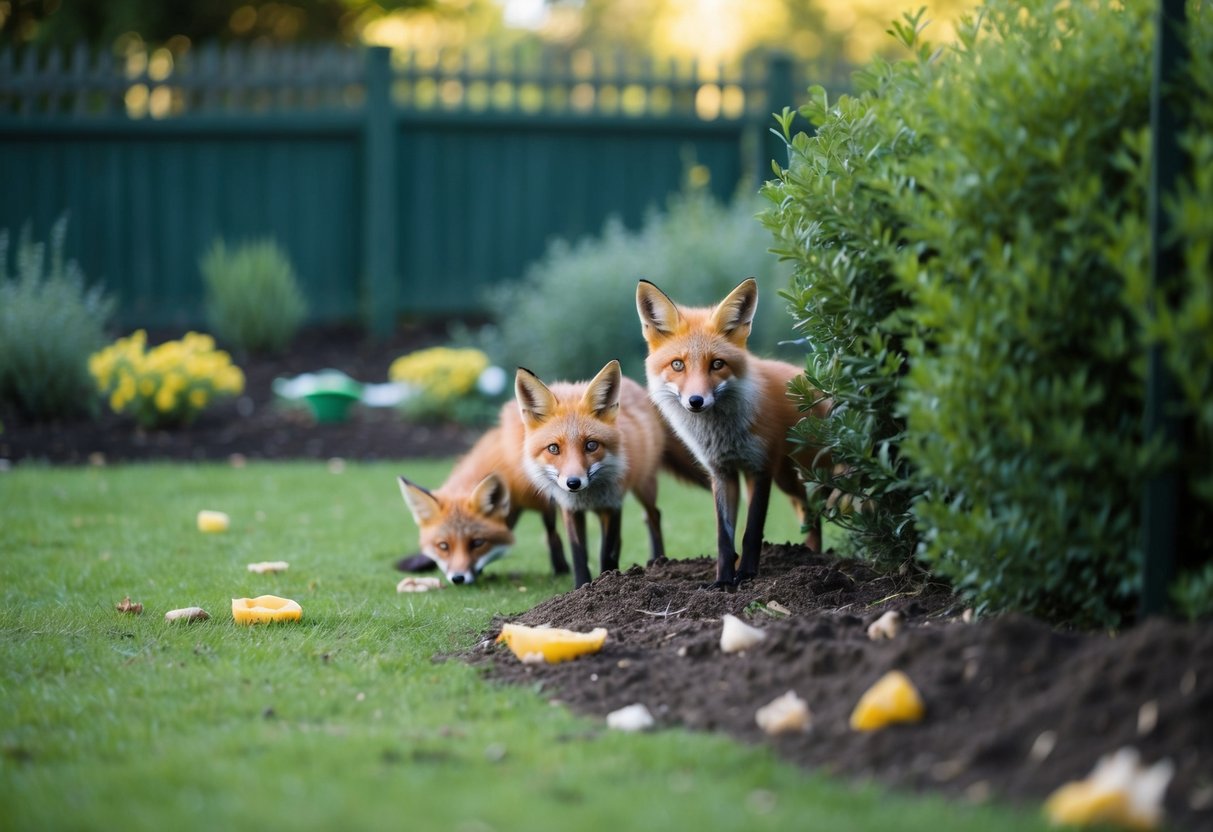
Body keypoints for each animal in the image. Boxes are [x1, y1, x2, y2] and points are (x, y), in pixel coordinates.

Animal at [396, 399, 567, 586]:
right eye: (443, 546)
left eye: (477, 543)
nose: (458, 578)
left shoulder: (544, 502)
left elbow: (552, 534)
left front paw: (561, 569)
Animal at [514, 359, 668, 589]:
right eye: (553, 448)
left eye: (591, 445)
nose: (573, 483)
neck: (588, 496)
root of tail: (632, 384)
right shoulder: (570, 508)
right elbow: (579, 554)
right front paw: (581, 588)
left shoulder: (612, 505)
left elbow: (608, 551)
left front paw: (608, 581)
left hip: (645, 484)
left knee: (653, 516)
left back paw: (659, 560)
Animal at [636, 277, 831, 588]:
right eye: (678, 364)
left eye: (717, 364)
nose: (696, 401)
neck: (722, 436)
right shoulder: (722, 473)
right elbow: (724, 538)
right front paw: (723, 582)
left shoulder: (759, 467)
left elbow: (752, 531)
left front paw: (747, 575)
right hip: (789, 478)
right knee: (808, 512)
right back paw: (810, 555)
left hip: (804, 474)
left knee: (816, 509)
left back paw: (815, 558)